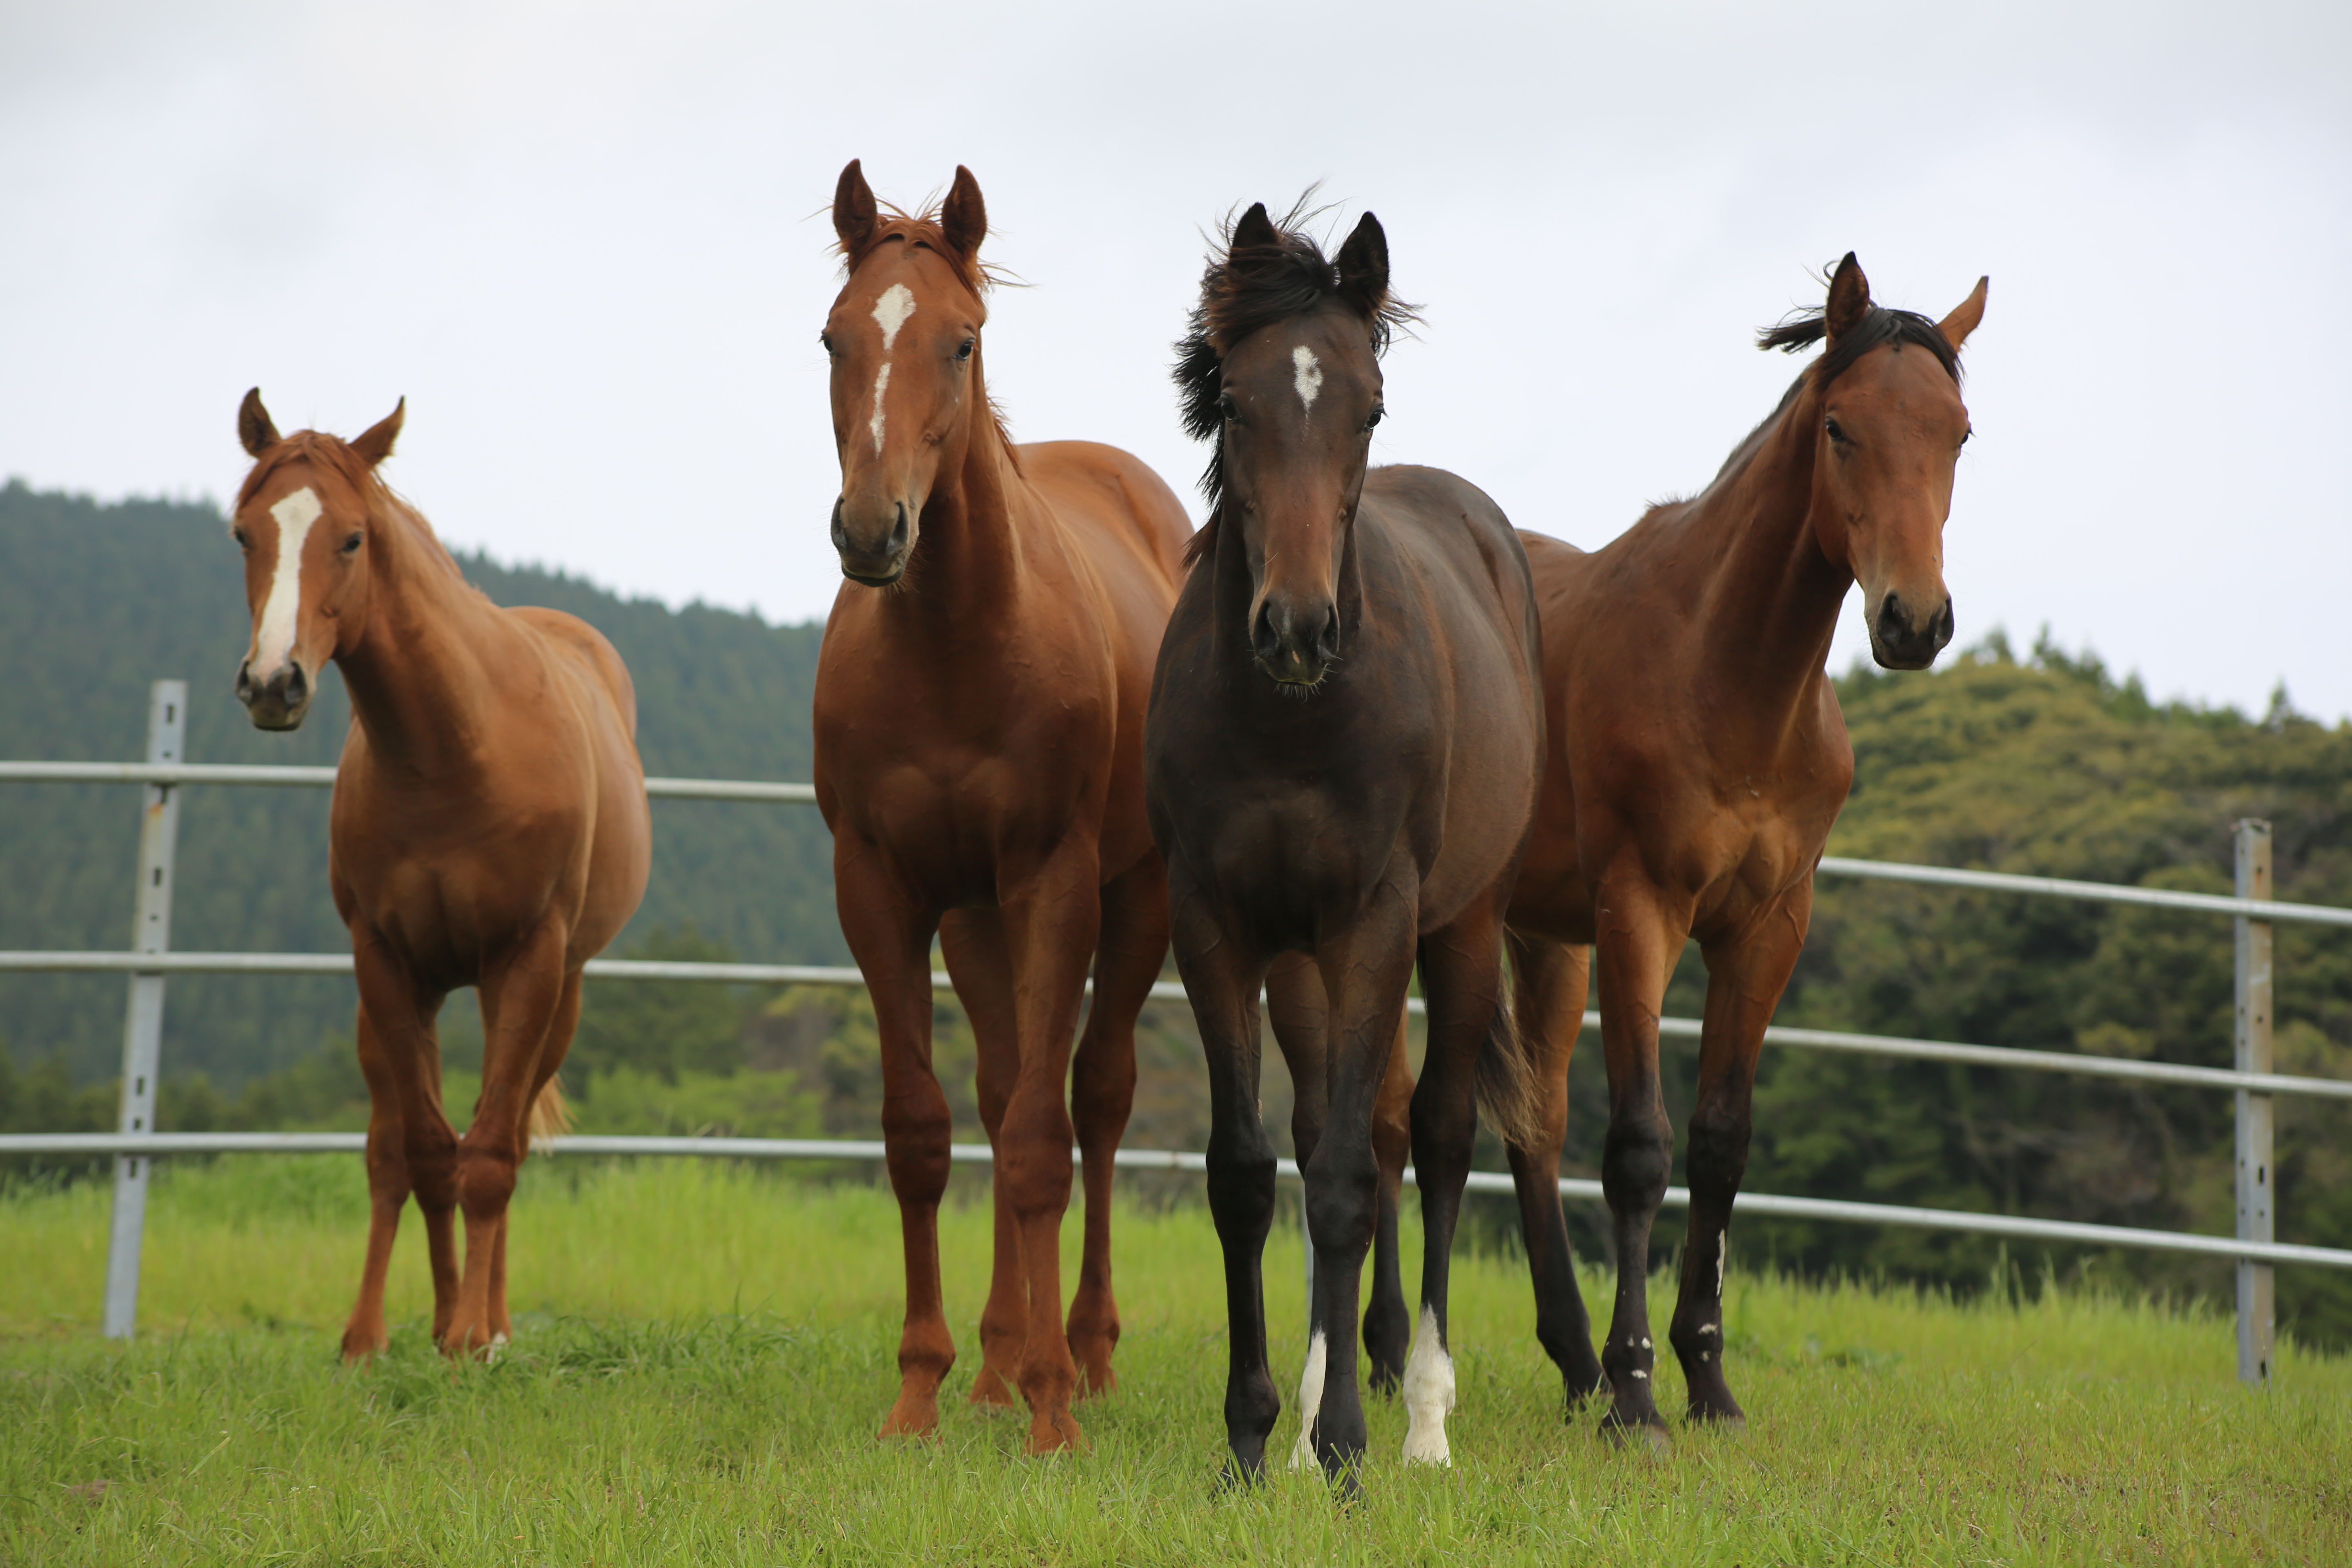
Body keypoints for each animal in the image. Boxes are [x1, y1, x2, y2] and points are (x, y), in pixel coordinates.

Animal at [230, 392, 654, 1363]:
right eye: (243, 534)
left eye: (352, 538)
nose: (274, 684)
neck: (455, 749)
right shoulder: (385, 965)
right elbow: (427, 1155)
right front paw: (429, 1330)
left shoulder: (529, 960)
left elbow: (490, 1155)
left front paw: (473, 1339)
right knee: (392, 1154)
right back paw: (378, 1334)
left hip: (551, 998)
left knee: (505, 1140)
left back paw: (487, 1321)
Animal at [818, 162, 1195, 1457]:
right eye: (833, 338)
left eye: (963, 339)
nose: (870, 529)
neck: (954, 639)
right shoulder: (881, 888)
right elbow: (923, 1132)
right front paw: (922, 1388)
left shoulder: (1053, 880)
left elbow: (1042, 1141)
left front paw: (1052, 1412)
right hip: (976, 916)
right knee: (995, 1088)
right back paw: (994, 1364)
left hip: (1131, 903)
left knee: (1093, 1102)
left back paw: (1077, 1354)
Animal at [1147, 202, 1552, 1476]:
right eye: (1234, 403)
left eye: (1367, 407)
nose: (1294, 629)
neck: (1294, 723)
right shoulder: (1219, 927)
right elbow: (1249, 1172)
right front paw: (1254, 1433)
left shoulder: (1377, 918)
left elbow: (1340, 1183)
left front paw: (1346, 1450)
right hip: (1305, 965)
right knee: (1350, 1123)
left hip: (1461, 928)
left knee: (1432, 1137)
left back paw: (1420, 1420)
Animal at [1496, 257, 1994, 1448]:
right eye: (1840, 428)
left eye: (1957, 433)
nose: (1914, 620)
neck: (1720, 673)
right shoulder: (1641, 914)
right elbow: (1639, 1147)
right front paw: (1638, 1396)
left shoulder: (1766, 929)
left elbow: (1720, 1142)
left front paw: (1704, 1381)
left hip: (1542, 941)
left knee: (1528, 1123)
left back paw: (1568, 1365)